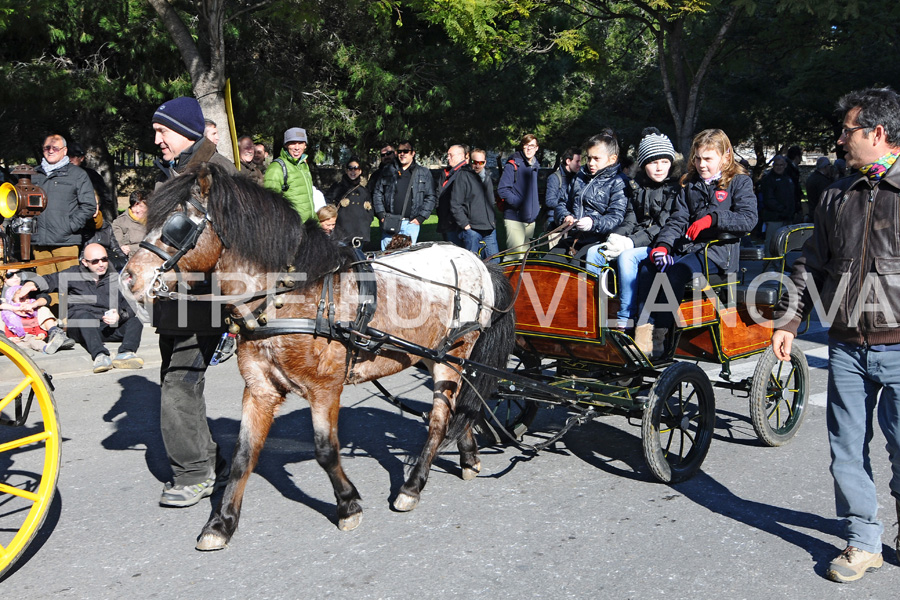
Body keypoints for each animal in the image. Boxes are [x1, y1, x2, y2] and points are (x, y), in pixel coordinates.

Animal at [121, 162, 512, 552]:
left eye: (176, 225)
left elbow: (326, 450)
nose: (128, 278)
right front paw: (221, 523)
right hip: (434, 355)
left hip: (454, 353)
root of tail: (477, 260)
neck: (288, 296)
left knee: (439, 420)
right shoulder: (260, 388)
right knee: (461, 406)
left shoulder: (325, 389)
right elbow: (244, 455)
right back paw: (469, 457)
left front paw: (348, 504)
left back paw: (412, 487)